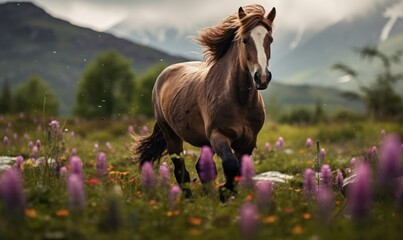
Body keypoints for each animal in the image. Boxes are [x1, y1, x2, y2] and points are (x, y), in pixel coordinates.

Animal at [134, 4, 276, 200]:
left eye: (270, 39)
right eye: (245, 40)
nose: (262, 77)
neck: (239, 101)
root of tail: (163, 76)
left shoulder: (248, 141)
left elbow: (238, 171)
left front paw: (225, 194)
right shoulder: (218, 135)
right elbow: (231, 165)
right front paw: (223, 192)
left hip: (204, 142)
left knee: (200, 167)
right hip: (172, 135)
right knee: (181, 171)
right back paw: (189, 200)